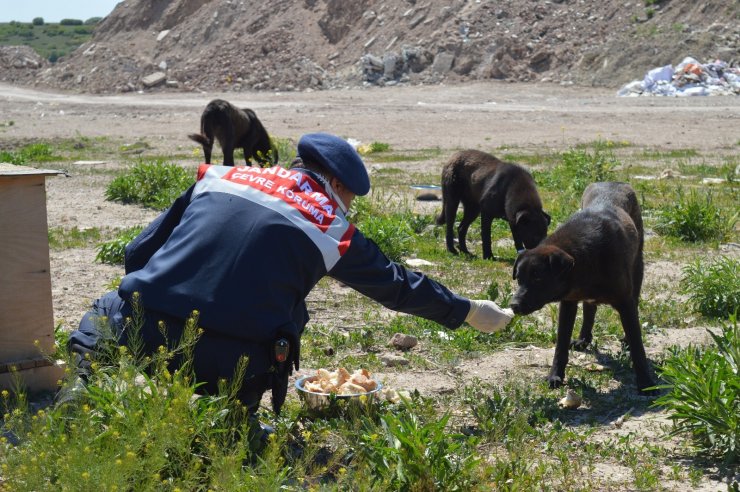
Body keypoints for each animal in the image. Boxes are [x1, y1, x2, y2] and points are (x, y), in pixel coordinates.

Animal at [512, 183, 656, 394]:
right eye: (519, 278)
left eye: (537, 277)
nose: (513, 305)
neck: (584, 259)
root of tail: (614, 182)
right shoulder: (568, 303)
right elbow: (561, 344)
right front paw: (555, 375)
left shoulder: (625, 303)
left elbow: (638, 347)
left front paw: (646, 383)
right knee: (590, 310)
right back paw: (583, 339)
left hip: (638, 268)